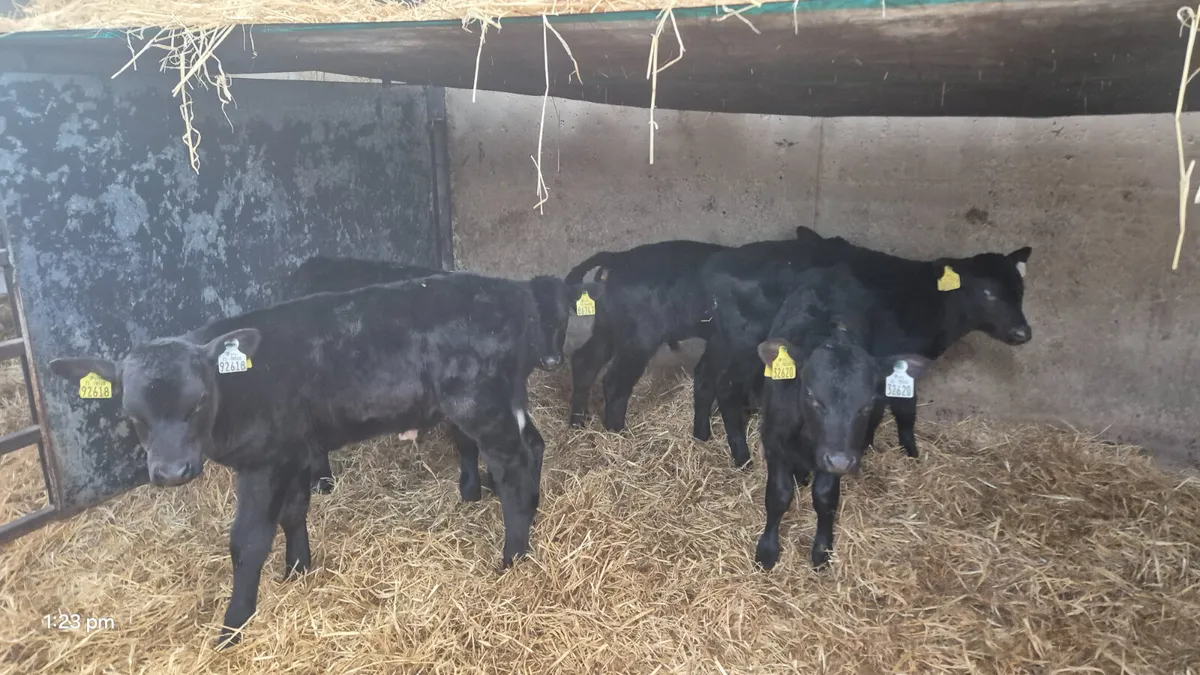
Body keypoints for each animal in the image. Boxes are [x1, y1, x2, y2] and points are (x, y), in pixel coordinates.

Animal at [48, 271, 569, 647]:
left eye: (196, 403)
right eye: (131, 414)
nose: (172, 472)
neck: (239, 384)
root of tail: (511, 291)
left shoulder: (262, 463)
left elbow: (247, 541)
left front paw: (233, 626)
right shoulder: (293, 450)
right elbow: (294, 511)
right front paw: (298, 569)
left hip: (479, 403)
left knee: (513, 465)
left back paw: (513, 556)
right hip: (506, 400)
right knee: (534, 447)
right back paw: (535, 512)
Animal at [278, 255, 596, 495]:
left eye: (564, 319)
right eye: (533, 318)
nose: (552, 360)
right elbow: (467, 444)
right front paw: (471, 488)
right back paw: (322, 481)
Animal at [695, 232, 1032, 468]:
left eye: (1020, 290)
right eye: (987, 292)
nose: (1023, 332)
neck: (929, 303)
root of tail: (718, 264)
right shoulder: (897, 357)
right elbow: (902, 408)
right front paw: (907, 451)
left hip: (722, 339)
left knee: (704, 373)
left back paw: (701, 434)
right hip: (744, 344)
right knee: (727, 387)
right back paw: (742, 457)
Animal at [751, 265, 930, 571]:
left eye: (867, 402)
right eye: (811, 394)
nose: (840, 461)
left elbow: (825, 499)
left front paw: (822, 549)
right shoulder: (774, 440)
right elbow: (778, 495)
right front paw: (767, 550)